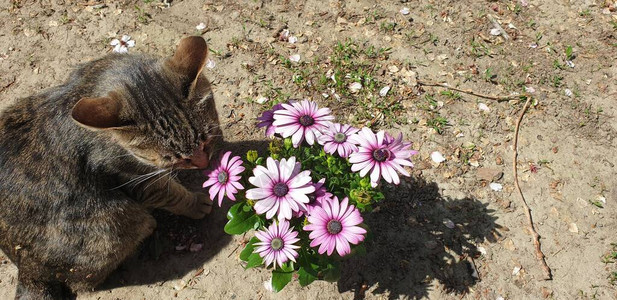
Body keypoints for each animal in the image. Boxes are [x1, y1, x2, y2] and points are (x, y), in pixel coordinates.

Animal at [0, 36, 221, 298]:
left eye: (205, 141)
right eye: (173, 159)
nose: (203, 163)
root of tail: (26, 270)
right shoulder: (133, 177)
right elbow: (171, 193)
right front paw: (196, 202)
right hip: (118, 220)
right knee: (84, 282)